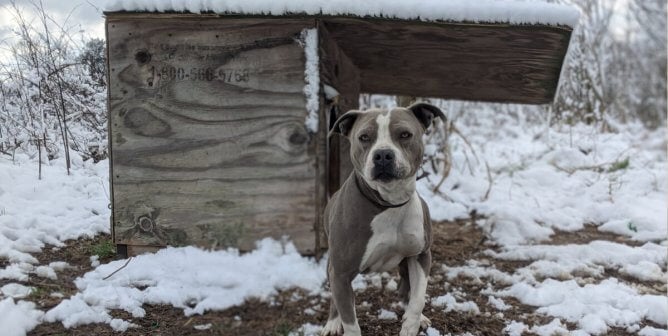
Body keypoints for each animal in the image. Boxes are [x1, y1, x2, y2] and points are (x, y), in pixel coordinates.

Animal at [322, 103, 444, 336]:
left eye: (405, 134)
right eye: (364, 137)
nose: (383, 155)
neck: (389, 203)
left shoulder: (421, 255)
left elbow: (418, 298)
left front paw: (411, 326)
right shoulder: (341, 273)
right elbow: (350, 322)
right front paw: (341, 323)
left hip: (406, 263)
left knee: (406, 288)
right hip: (332, 265)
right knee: (335, 298)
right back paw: (332, 323)